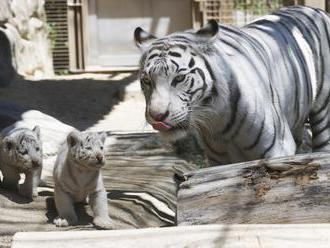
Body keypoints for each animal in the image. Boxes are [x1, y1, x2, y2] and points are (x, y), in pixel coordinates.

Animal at [133, 5, 330, 166]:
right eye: (147, 81)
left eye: (180, 78)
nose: (157, 116)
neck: (218, 123)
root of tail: (315, 9)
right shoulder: (217, 161)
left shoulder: (278, 150)